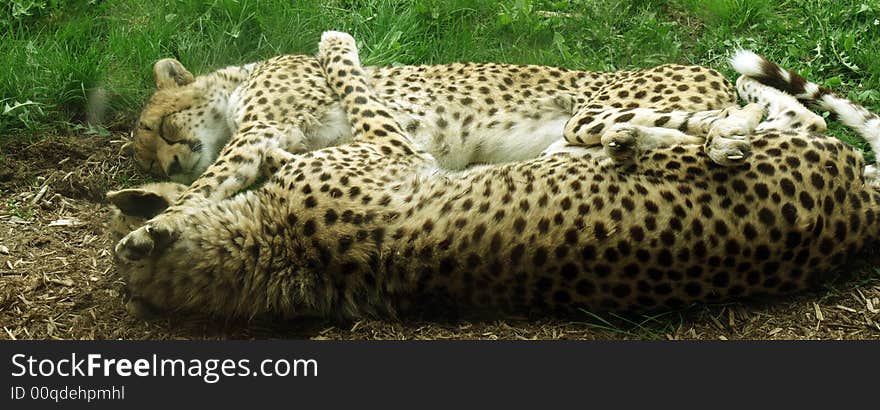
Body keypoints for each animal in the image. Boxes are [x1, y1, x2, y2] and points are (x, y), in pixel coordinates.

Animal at [113, 32, 880, 320]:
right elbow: (213, 186)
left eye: (158, 127)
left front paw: (164, 216)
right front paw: (154, 204)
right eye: (147, 146)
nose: (164, 159)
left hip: (592, 107)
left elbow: (214, 182)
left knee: (715, 122)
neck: (234, 88)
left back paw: (716, 135)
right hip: (573, 143)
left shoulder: (267, 132)